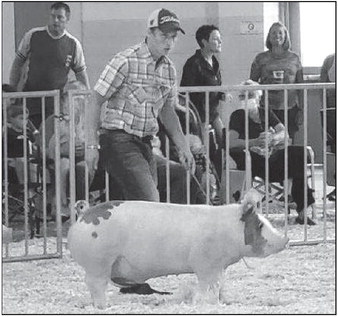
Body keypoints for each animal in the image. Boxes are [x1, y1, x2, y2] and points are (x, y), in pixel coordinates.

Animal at [68, 189, 288, 308]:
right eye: (259, 225)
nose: (285, 239)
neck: (228, 230)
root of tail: (85, 213)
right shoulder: (205, 263)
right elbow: (206, 284)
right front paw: (201, 303)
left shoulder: (219, 266)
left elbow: (218, 285)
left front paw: (218, 302)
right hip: (98, 262)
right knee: (96, 284)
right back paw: (104, 306)